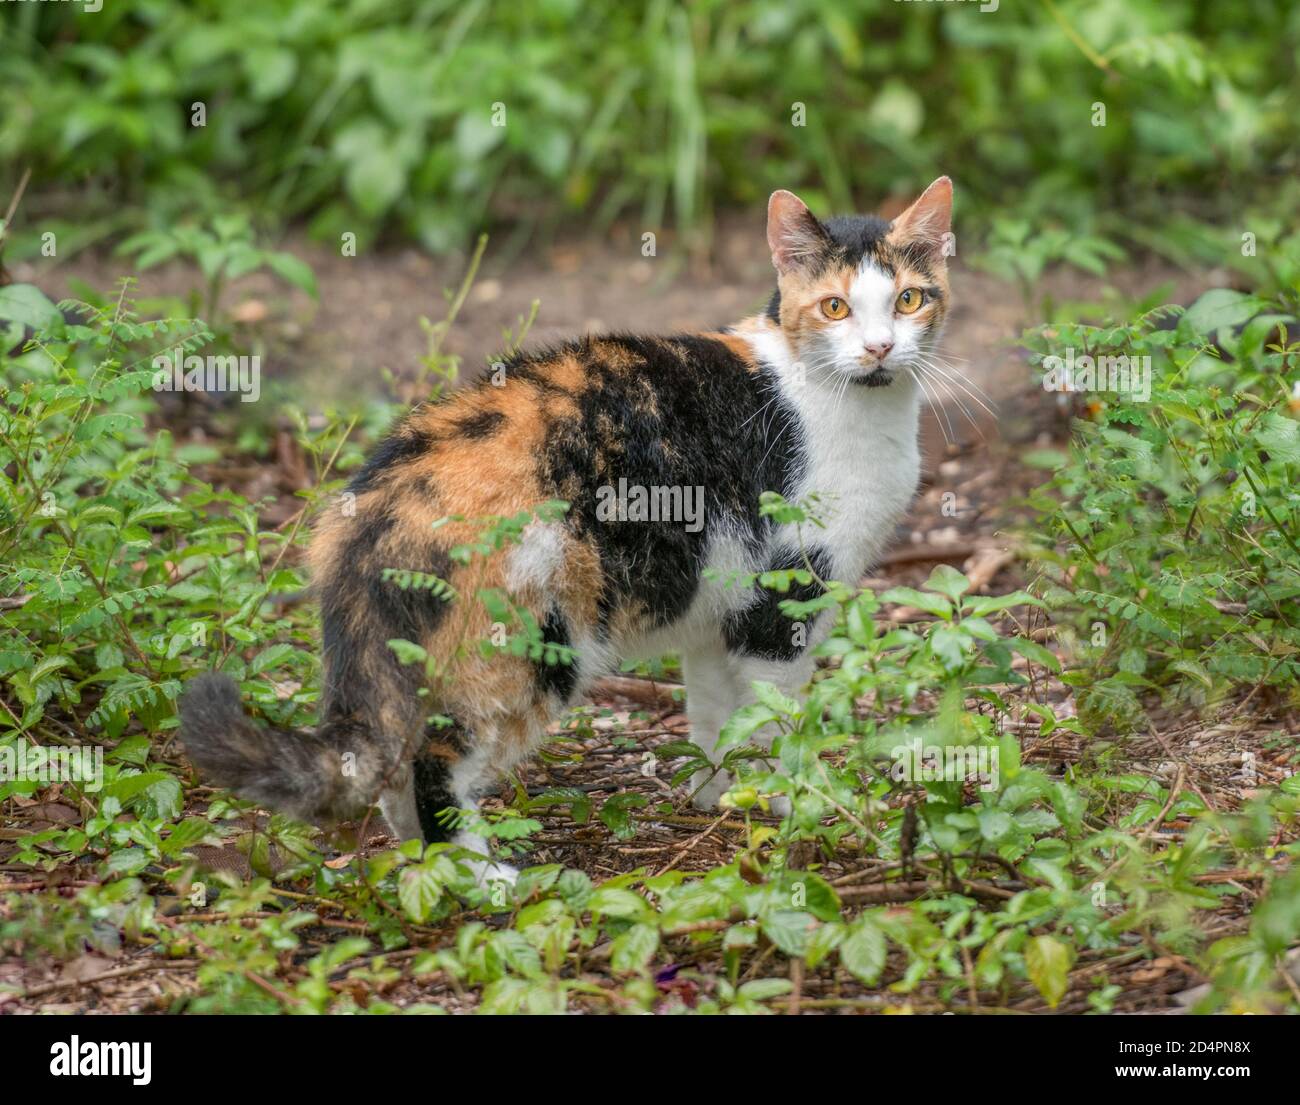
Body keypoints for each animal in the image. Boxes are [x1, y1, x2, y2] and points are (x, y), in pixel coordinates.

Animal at [180, 178, 956, 878]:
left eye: (909, 299)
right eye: (835, 307)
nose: (880, 348)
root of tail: (373, 509)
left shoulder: (723, 608)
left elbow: (714, 716)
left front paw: (716, 795)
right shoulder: (785, 598)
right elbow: (775, 720)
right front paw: (793, 804)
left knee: (397, 768)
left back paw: (422, 870)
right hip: (530, 642)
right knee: (436, 761)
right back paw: (477, 877)